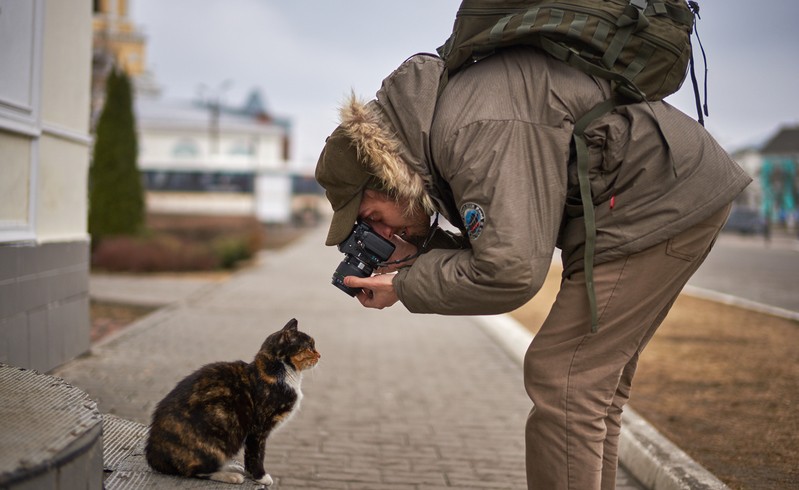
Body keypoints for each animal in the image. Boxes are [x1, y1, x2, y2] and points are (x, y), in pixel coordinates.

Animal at [145, 318, 320, 486]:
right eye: (309, 347)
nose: (319, 355)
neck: (279, 371)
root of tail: (154, 454)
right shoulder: (258, 429)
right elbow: (256, 454)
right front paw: (260, 477)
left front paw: (251, 474)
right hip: (215, 442)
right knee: (195, 470)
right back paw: (231, 475)